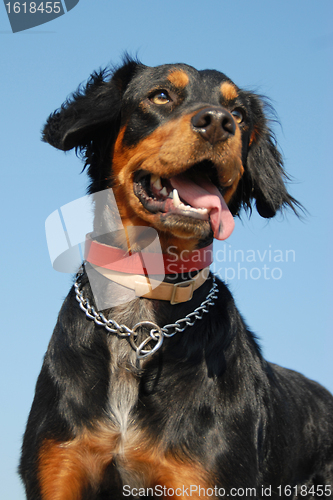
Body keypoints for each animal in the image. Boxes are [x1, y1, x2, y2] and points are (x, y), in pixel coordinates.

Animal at [18, 57, 332, 496]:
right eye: (161, 95)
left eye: (239, 114)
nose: (218, 122)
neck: (144, 299)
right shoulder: (58, 468)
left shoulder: (201, 479)